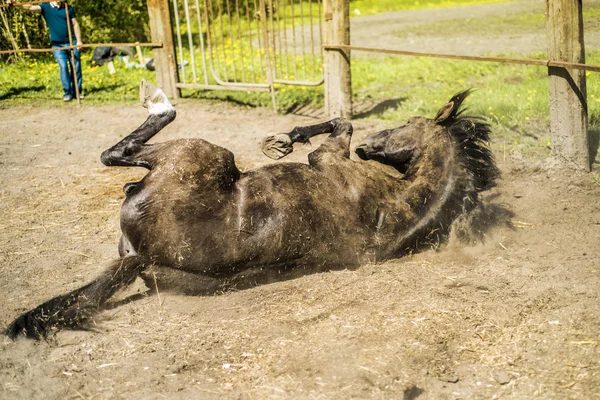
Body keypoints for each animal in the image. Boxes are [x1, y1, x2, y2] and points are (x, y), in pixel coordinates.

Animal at [7, 79, 500, 340]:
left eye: (406, 124)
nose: (369, 148)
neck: (397, 207)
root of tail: (140, 256)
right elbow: (339, 121)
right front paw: (284, 140)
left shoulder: (328, 157)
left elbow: (340, 123)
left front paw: (284, 140)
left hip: (203, 152)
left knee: (119, 152)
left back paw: (160, 100)